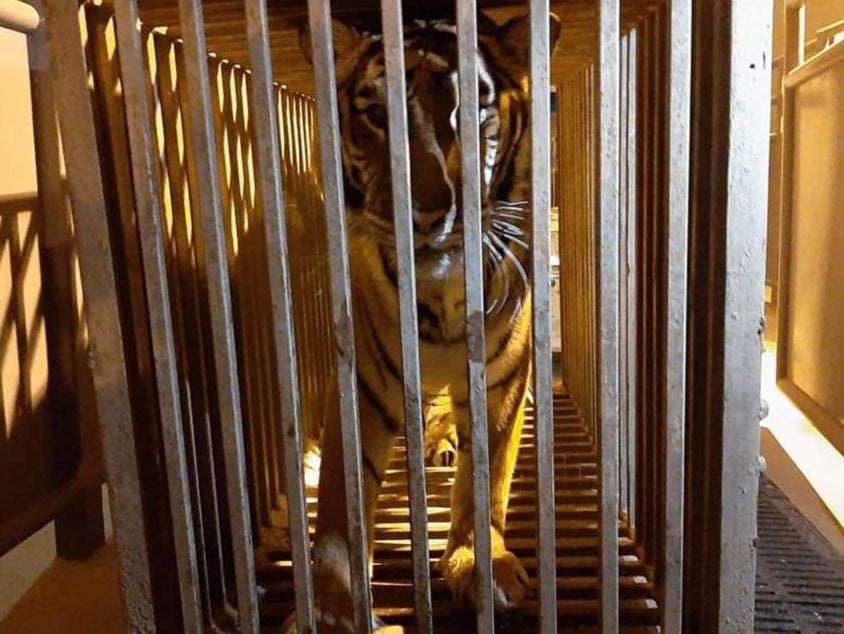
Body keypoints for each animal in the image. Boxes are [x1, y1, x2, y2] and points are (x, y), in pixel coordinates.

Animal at [288, 11, 560, 632]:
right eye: (377, 115)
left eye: (474, 107)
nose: (429, 211)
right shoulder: (364, 384)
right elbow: (340, 504)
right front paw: (333, 606)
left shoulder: (502, 377)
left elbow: (487, 479)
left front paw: (481, 566)